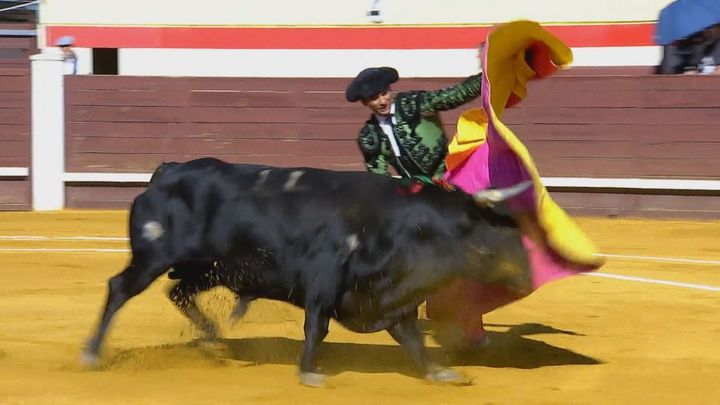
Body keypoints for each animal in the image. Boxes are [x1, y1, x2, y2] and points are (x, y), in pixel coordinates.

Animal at [86, 157, 536, 386]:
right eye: (495, 234)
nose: (528, 277)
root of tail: (168, 172)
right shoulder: (324, 279)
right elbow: (315, 327)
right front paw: (309, 373)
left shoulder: (390, 295)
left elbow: (412, 338)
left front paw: (440, 372)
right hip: (153, 258)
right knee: (119, 289)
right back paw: (91, 353)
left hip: (208, 268)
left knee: (177, 293)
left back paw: (214, 342)